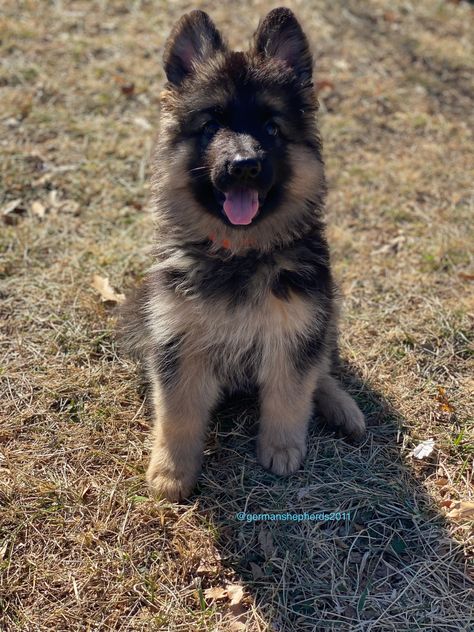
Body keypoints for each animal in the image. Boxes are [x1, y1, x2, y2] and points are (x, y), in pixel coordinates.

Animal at [120, 7, 364, 502]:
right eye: (211, 125)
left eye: (271, 128)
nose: (244, 166)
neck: (241, 253)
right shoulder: (178, 341)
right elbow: (178, 412)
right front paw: (172, 471)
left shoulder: (295, 332)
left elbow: (291, 394)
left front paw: (282, 448)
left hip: (326, 312)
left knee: (322, 369)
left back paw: (341, 406)